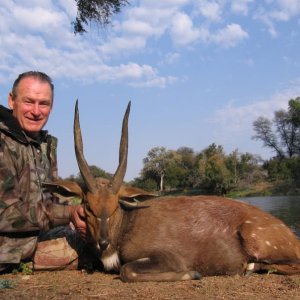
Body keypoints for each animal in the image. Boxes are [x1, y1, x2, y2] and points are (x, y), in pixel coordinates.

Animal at [47, 102, 300, 282]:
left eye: (115, 206)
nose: (102, 242)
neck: (127, 223)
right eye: (87, 206)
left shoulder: (169, 257)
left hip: (258, 242)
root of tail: (290, 234)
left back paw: (250, 267)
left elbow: (127, 271)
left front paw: (193, 273)